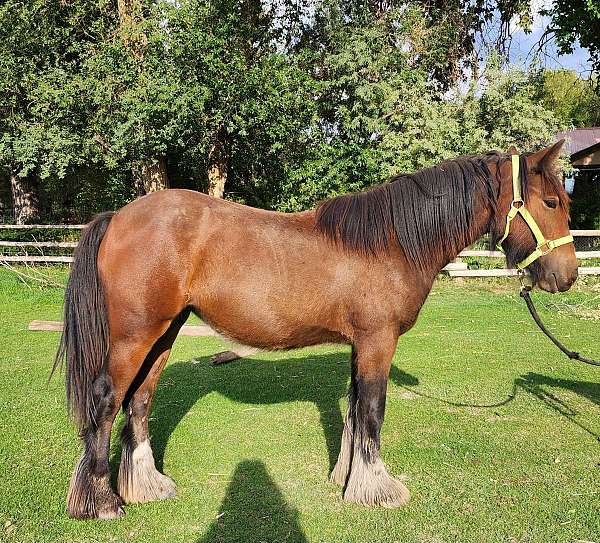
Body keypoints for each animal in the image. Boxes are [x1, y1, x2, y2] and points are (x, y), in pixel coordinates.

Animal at [55, 140, 576, 520]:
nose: (566, 276)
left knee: (140, 400)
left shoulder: (361, 344)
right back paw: (101, 502)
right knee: (106, 401)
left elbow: (354, 409)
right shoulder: (377, 342)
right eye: (552, 201)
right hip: (134, 335)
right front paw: (377, 489)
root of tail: (118, 218)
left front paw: (347, 476)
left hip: (164, 332)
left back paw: (146, 486)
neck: (390, 241)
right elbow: (372, 411)